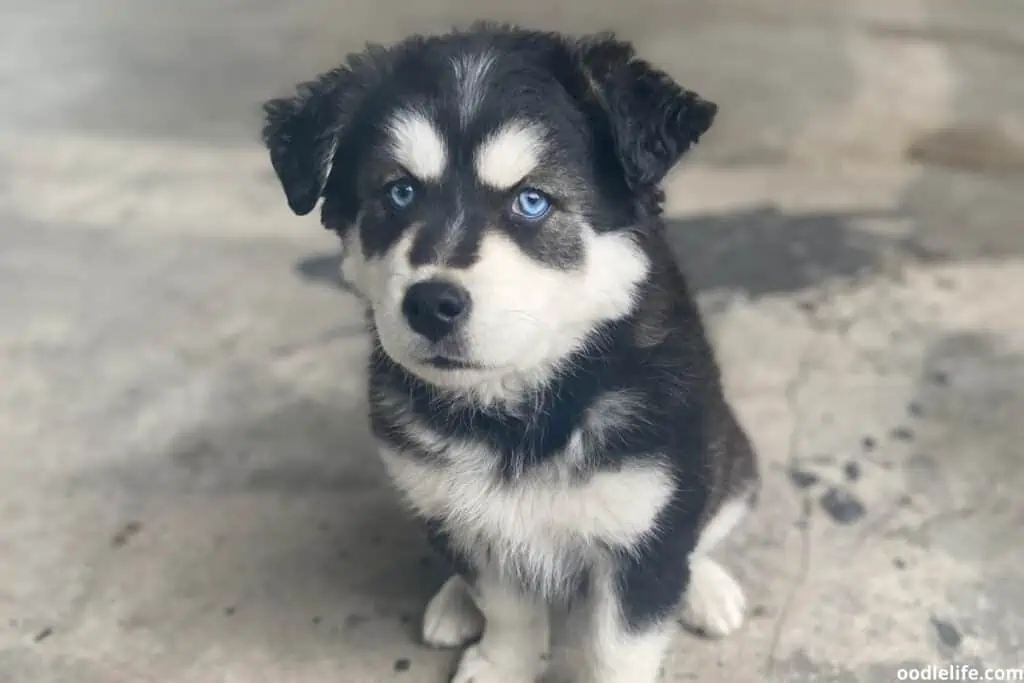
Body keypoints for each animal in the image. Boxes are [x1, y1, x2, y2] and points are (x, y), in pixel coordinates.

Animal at [262, 22, 761, 683]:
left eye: (532, 201)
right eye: (398, 193)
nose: (430, 304)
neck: (520, 409)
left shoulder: (644, 531)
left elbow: (620, 646)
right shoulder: (469, 519)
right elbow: (505, 604)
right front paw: (500, 662)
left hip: (733, 461)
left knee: (706, 532)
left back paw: (707, 590)